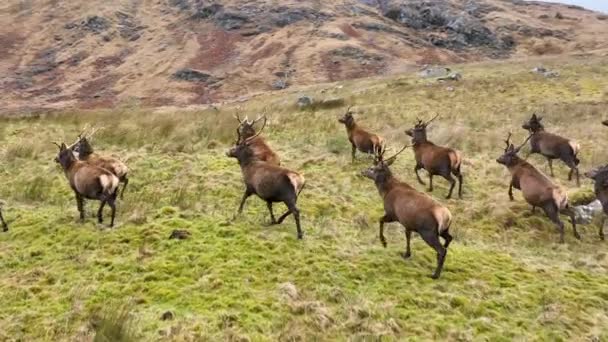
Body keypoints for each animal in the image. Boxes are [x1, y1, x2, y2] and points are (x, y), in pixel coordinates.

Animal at [360, 144, 452, 278]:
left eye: (372, 168)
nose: (362, 171)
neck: (386, 192)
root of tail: (447, 216)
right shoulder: (408, 222)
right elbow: (407, 236)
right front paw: (406, 254)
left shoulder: (393, 213)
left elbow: (380, 220)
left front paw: (384, 242)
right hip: (443, 230)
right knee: (449, 239)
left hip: (428, 232)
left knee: (442, 250)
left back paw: (435, 274)